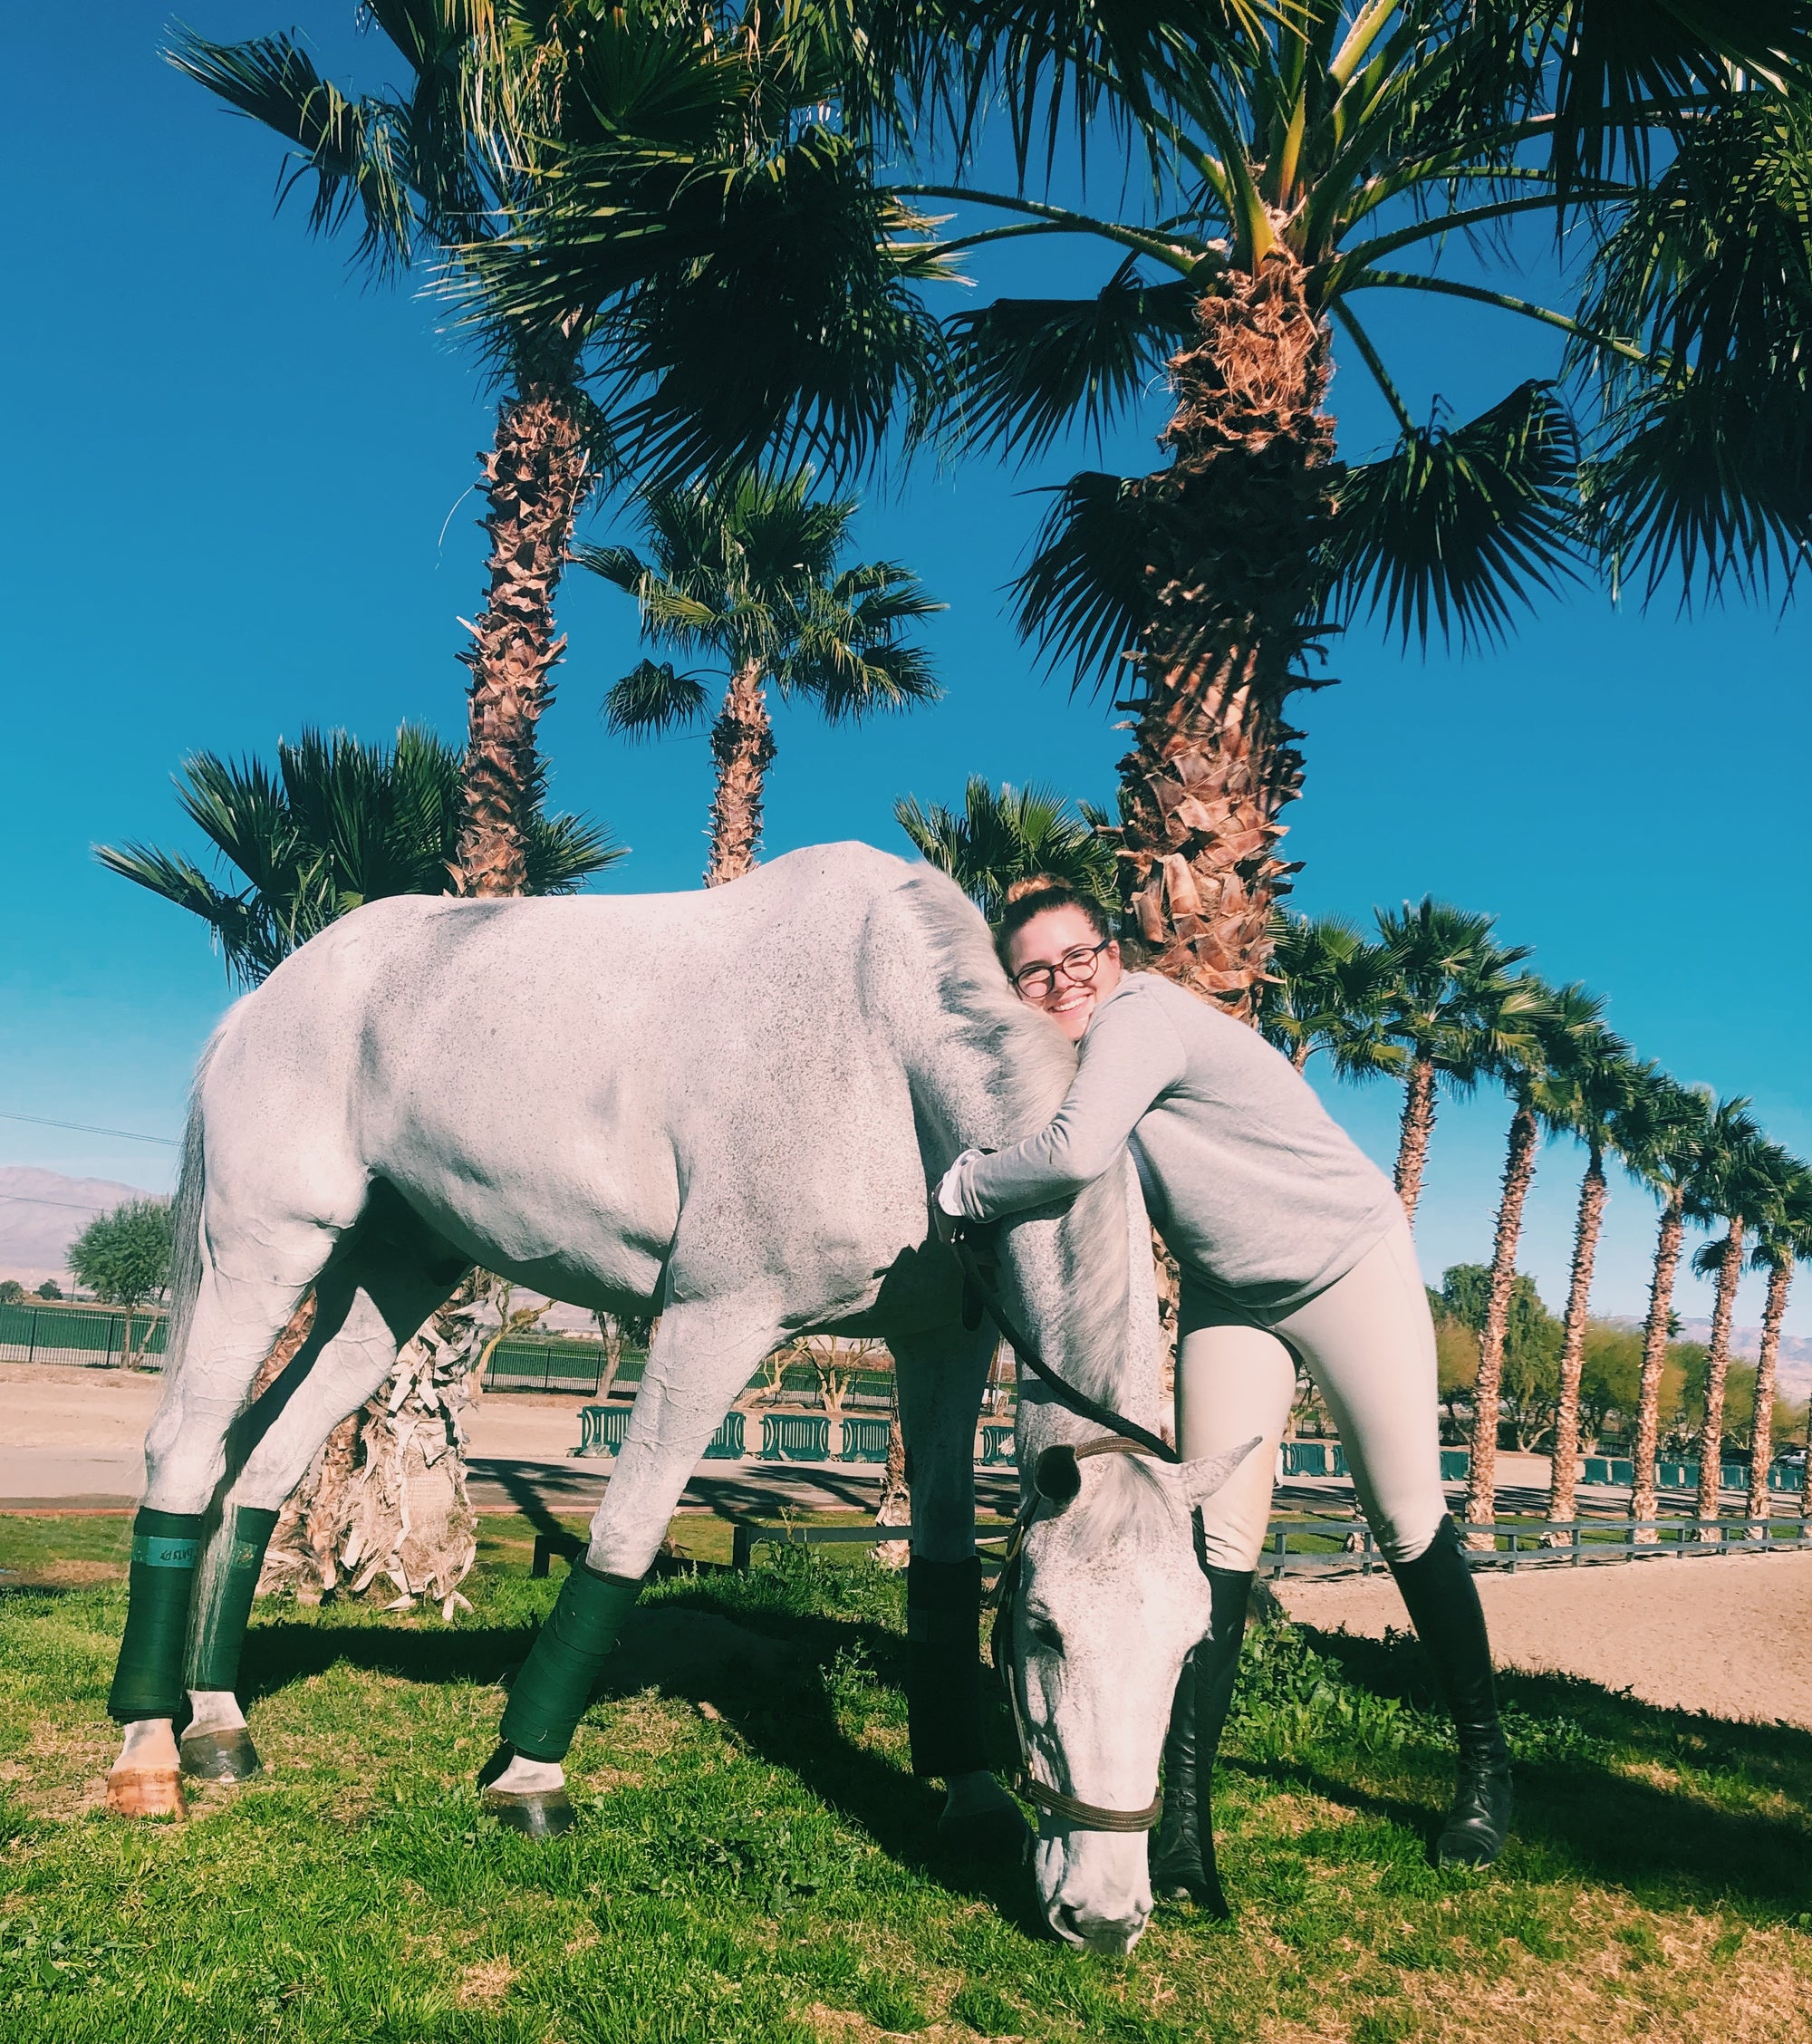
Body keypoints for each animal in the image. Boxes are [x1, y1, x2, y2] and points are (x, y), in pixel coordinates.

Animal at [110, 842, 1249, 1945]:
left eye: (1191, 1643)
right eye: (1044, 1628)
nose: (1103, 1916)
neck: (883, 1053)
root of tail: (276, 995)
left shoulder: (941, 1346)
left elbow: (940, 1561)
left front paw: (969, 1791)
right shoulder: (715, 1319)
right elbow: (626, 1531)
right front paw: (530, 1777)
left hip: (386, 1283)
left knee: (259, 1469)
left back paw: (219, 1723)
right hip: (266, 1249)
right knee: (185, 1452)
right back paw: (149, 1750)